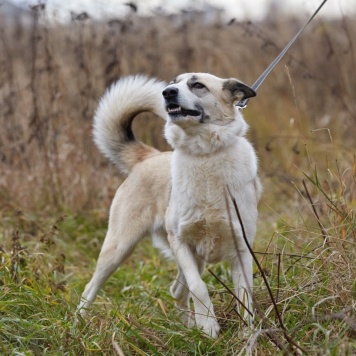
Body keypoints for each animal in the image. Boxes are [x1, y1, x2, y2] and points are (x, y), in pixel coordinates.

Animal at [78, 73, 262, 338]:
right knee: (91, 286)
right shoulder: (181, 241)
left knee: (176, 290)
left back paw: (187, 328)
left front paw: (248, 335)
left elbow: (245, 297)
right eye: (174, 82)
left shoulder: (242, 250)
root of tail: (149, 156)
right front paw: (209, 327)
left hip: (194, 259)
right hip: (119, 248)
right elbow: (199, 287)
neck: (205, 155)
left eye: (197, 85)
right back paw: (77, 324)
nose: (167, 92)